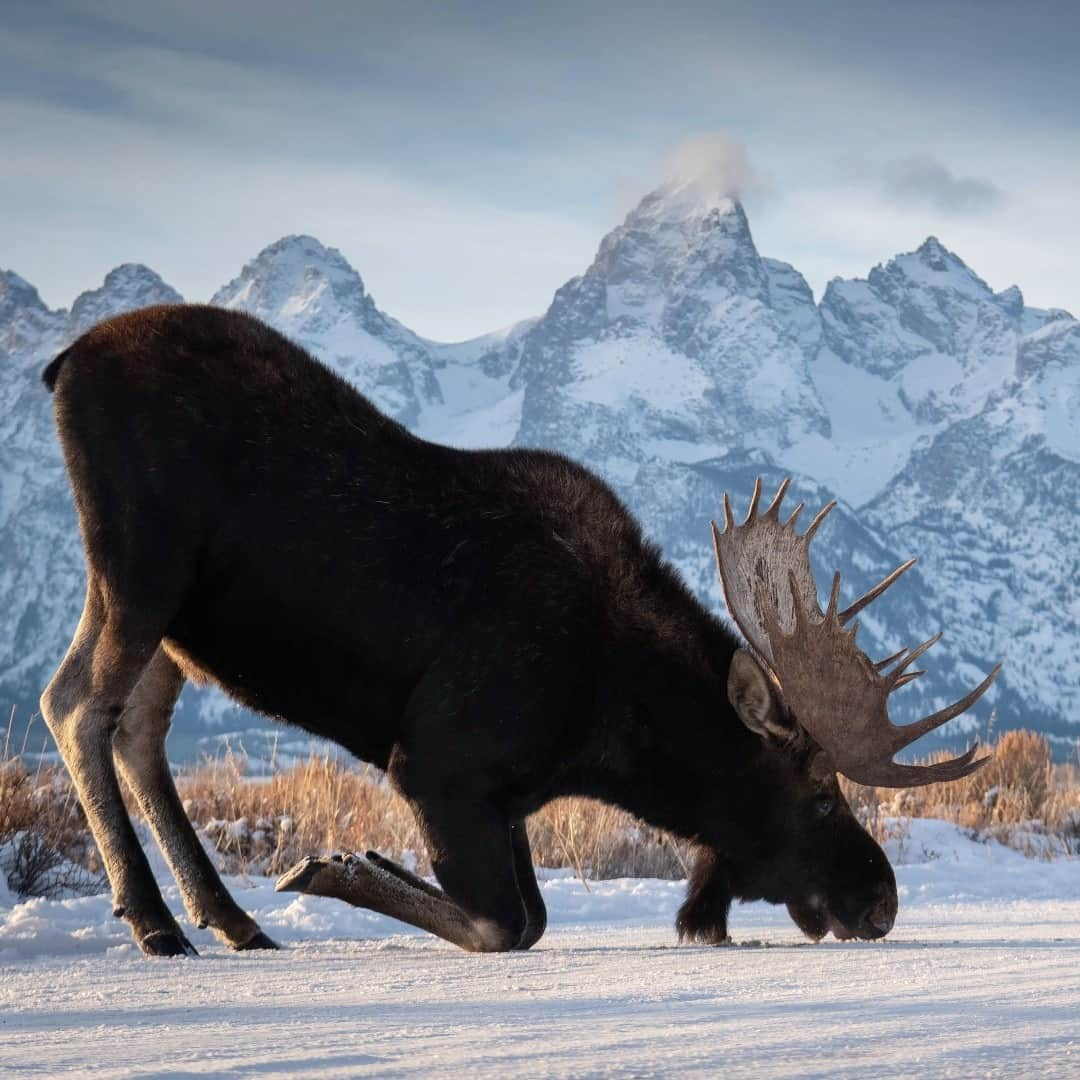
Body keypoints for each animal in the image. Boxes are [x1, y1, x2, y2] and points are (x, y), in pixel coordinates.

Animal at [42, 304, 1002, 954]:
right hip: (140, 564)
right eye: (820, 795)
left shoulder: (505, 796)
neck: (610, 733)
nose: (882, 901)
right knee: (75, 702)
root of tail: (63, 364)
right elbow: (504, 923)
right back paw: (157, 922)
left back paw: (228, 918)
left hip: (179, 618)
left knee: (137, 725)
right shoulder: (435, 761)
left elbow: (534, 915)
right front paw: (336, 866)